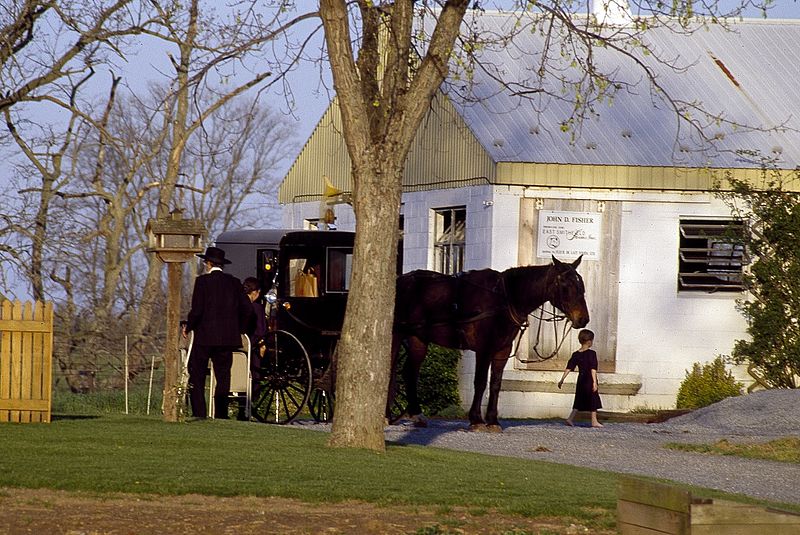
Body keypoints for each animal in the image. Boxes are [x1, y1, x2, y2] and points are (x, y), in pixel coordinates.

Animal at [390, 255, 592, 432]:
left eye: (581, 284)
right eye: (566, 285)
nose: (583, 319)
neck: (503, 298)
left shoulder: (502, 350)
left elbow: (495, 383)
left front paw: (493, 420)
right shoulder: (484, 349)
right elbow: (480, 382)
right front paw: (476, 420)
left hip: (418, 339)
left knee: (409, 373)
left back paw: (416, 414)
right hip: (397, 335)